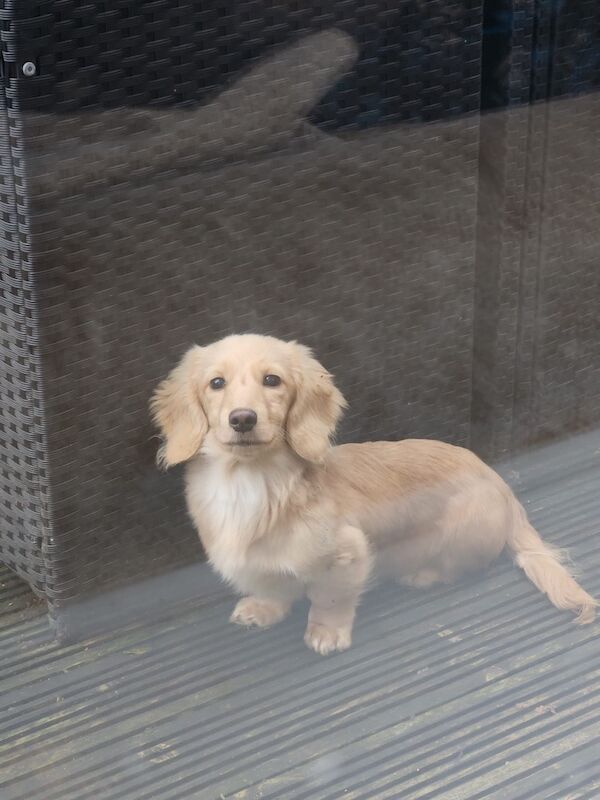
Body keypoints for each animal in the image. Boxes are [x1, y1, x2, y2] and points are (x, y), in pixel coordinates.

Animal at [151, 334, 596, 652]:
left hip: (461, 537)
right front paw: (264, 609)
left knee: (463, 568)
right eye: (216, 383)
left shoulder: (348, 555)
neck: (252, 481)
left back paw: (422, 575)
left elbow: (329, 600)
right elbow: (273, 586)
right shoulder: (263, 564)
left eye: (272, 380)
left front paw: (326, 634)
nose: (242, 419)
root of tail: (500, 486)